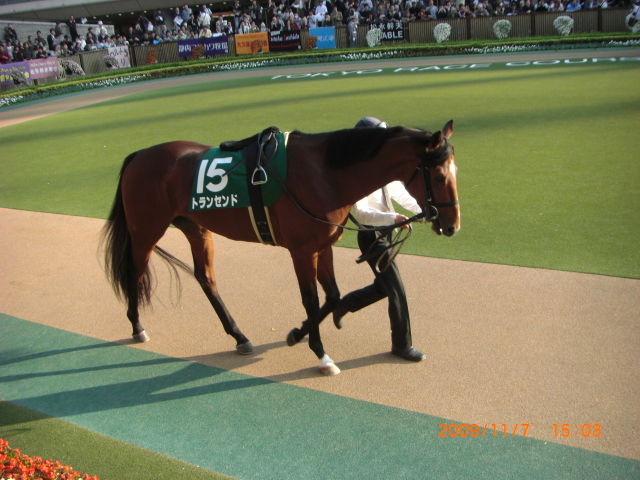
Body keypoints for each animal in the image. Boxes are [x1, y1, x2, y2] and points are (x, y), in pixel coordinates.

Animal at [102, 120, 460, 376]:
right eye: (440, 175)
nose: (452, 225)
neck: (324, 173)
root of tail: (139, 155)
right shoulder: (301, 250)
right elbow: (311, 299)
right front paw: (321, 354)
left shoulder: (323, 246)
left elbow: (332, 296)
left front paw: (297, 334)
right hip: (146, 231)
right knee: (134, 273)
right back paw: (137, 326)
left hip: (196, 228)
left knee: (205, 278)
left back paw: (240, 336)